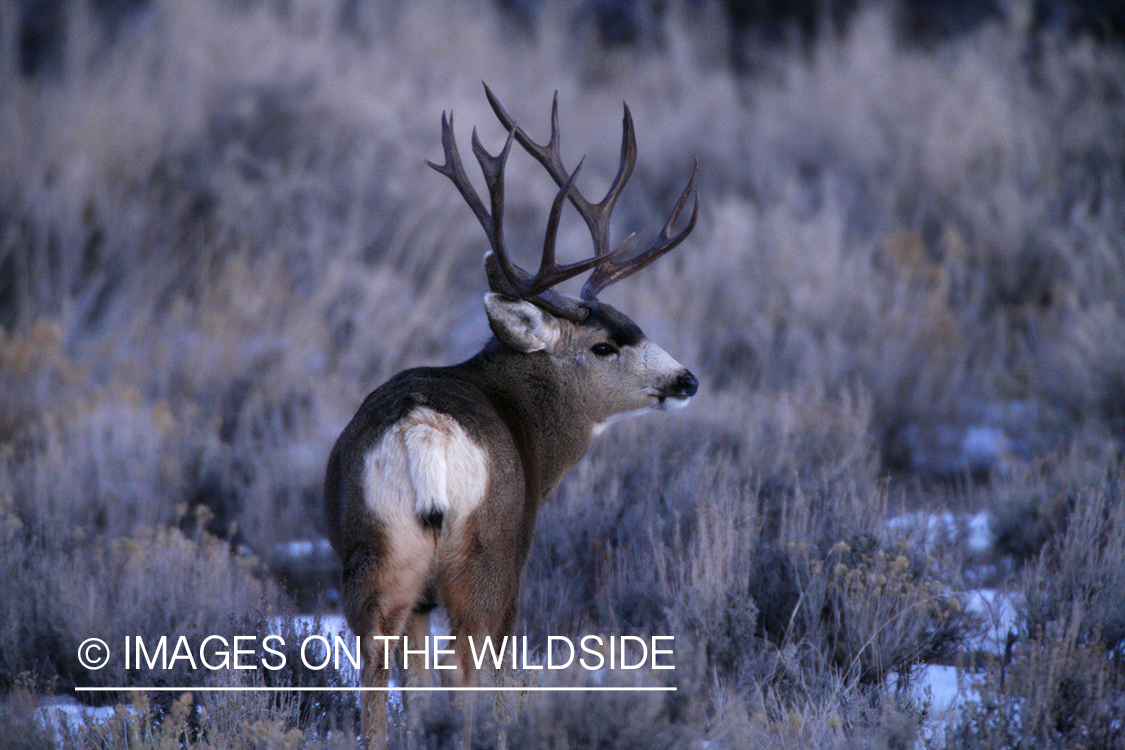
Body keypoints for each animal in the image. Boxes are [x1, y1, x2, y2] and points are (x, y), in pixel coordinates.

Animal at [324, 85, 699, 748]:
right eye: (605, 345)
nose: (686, 380)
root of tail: (424, 432)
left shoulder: (415, 597)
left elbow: (414, 685)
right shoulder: (519, 548)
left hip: (376, 554)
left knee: (376, 667)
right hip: (488, 553)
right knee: (470, 667)